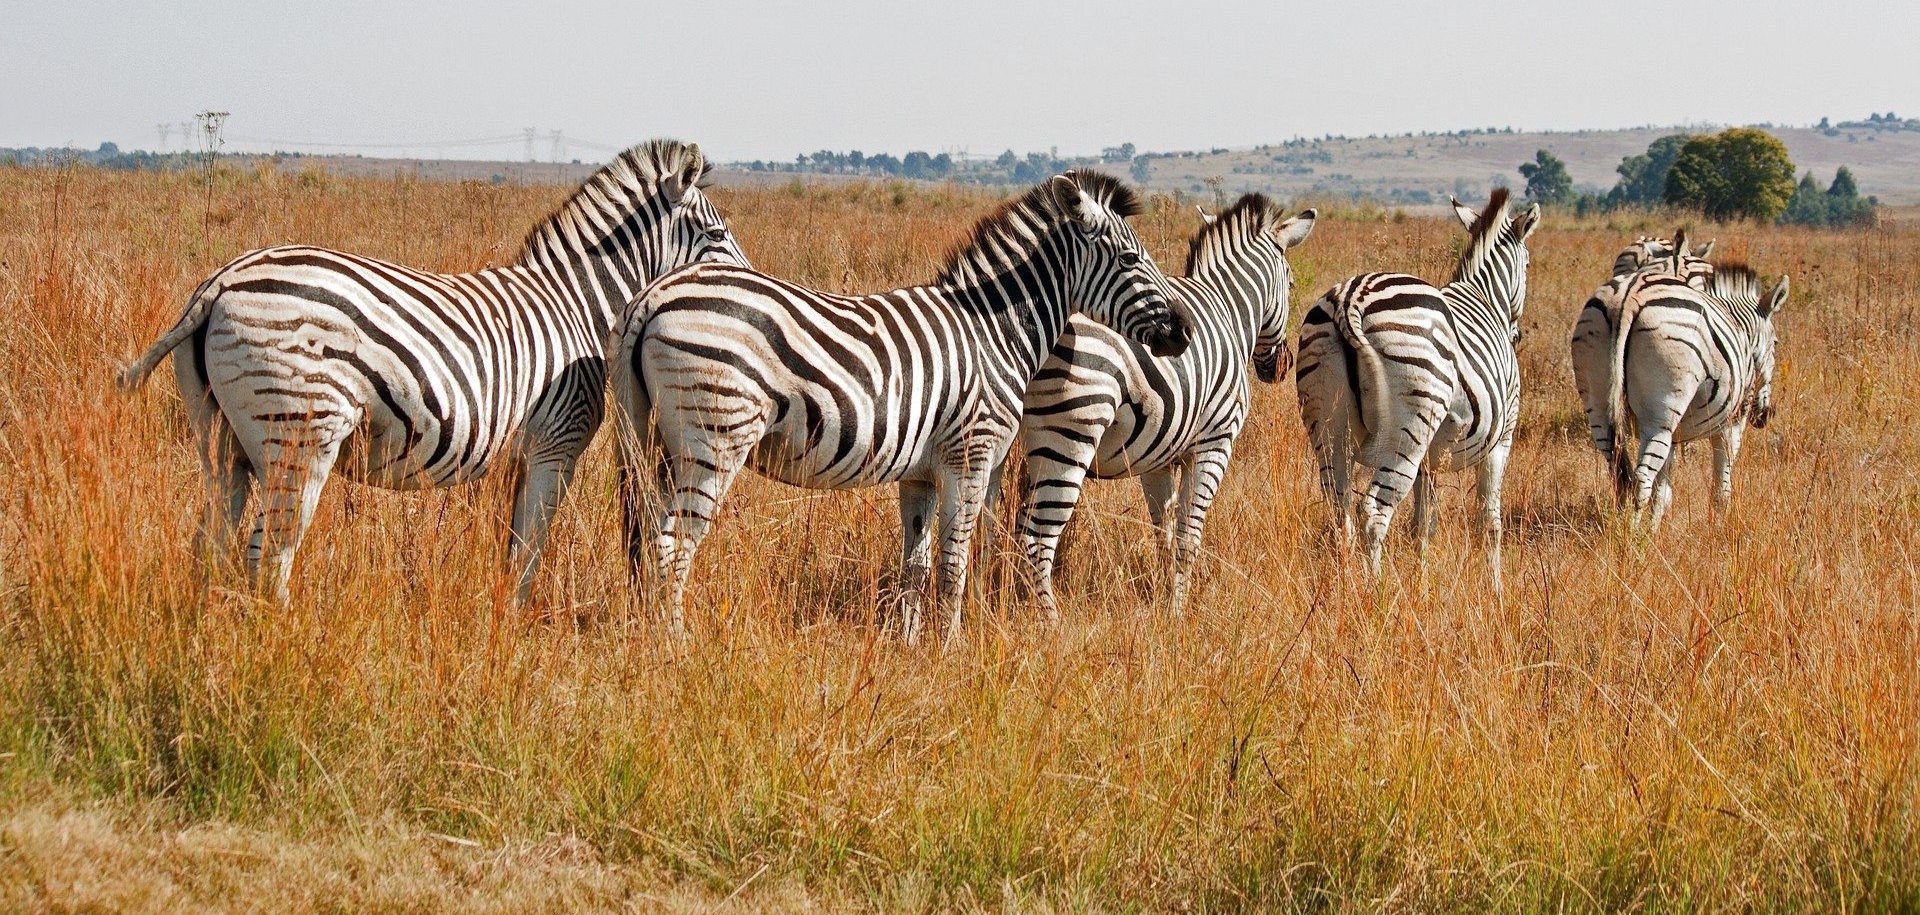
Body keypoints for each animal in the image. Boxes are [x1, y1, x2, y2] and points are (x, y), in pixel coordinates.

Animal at [116, 139, 749, 603]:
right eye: (717, 235)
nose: (752, 283)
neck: (577, 302)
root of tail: (220, 282)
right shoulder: (556, 444)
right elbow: (530, 548)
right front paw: (514, 627)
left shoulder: (525, 453)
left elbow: (513, 545)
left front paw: (500, 619)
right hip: (298, 437)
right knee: (268, 558)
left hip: (222, 443)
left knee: (209, 546)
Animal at [609, 171, 1189, 643]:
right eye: (1132, 259)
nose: (1182, 332)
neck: (993, 333)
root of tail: (653, 296)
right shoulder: (970, 456)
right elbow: (954, 564)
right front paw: (951, 650)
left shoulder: (920, 474)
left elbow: (917, 566)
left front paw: (910, 648)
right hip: (713, 438)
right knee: (672, 547)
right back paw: (675, 647)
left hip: (655, 442)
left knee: (648, 540)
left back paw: (648, 636)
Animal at [993, 193, 1315, 618]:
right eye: (1291, 284)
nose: (1279, 367)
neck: (1227, 309)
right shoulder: (1215, 443)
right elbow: (1189, 534)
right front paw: (1179, 611)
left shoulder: (1157, 456)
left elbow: (1164, 530)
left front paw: (1165, 597)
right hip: (1070, 434)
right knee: (1036, 536)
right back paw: (1046, 620)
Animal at [1294, 188, 1539, 590]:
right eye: (1529, 265)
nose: (1517, 335)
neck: (1485, 297)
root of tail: (1351, 299)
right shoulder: (1501, 440)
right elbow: (1490, 522)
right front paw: (1496, 589)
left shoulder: (1431, 459)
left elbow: (1423, 525)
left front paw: (1421, 584)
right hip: (1408, 427)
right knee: (1374, 511)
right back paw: (1373, 591)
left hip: (1329, 423)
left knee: (1338, 510)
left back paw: (1343, 590)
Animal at [1597, 260, 1787, 528]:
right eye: (1776, 343)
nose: (1765, 416)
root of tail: (1630, 295)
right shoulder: (1731, 424)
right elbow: (1722, 487)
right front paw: (1718, 529)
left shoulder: (1674, 437)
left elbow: (1663, 491)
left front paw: (1654, 531)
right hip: (1660, 414)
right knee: (1641, 478)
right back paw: (1631, 537)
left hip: (1600, 404)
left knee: (1620, 474)